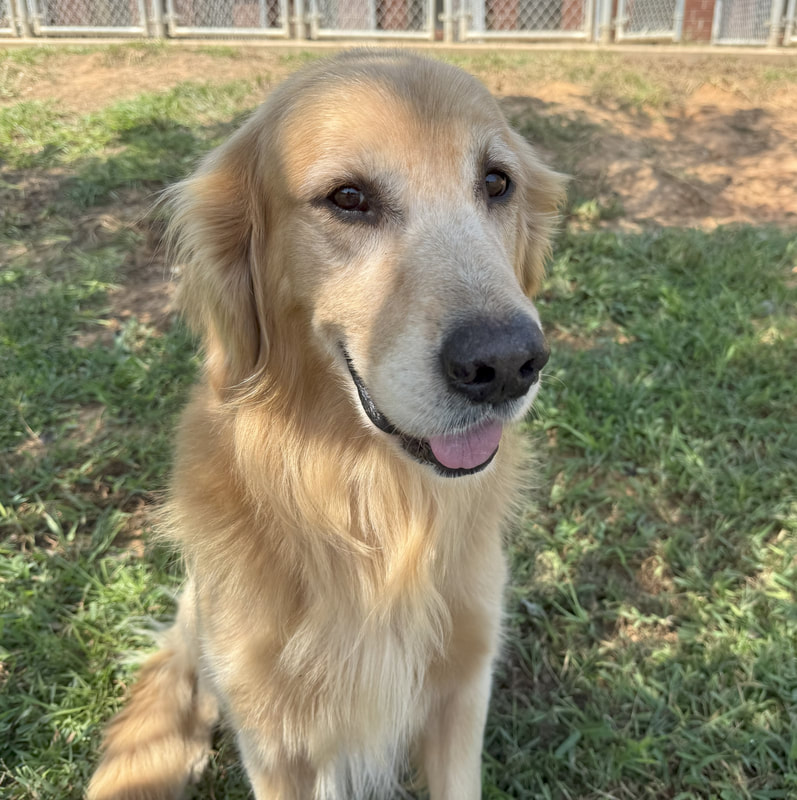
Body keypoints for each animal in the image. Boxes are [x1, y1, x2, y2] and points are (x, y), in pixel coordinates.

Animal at [87, 49, 565, 800]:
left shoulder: (462, 691)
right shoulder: (274, 736)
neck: (372, 504)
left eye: (497, 182)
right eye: (348, 198)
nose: (508, 362)